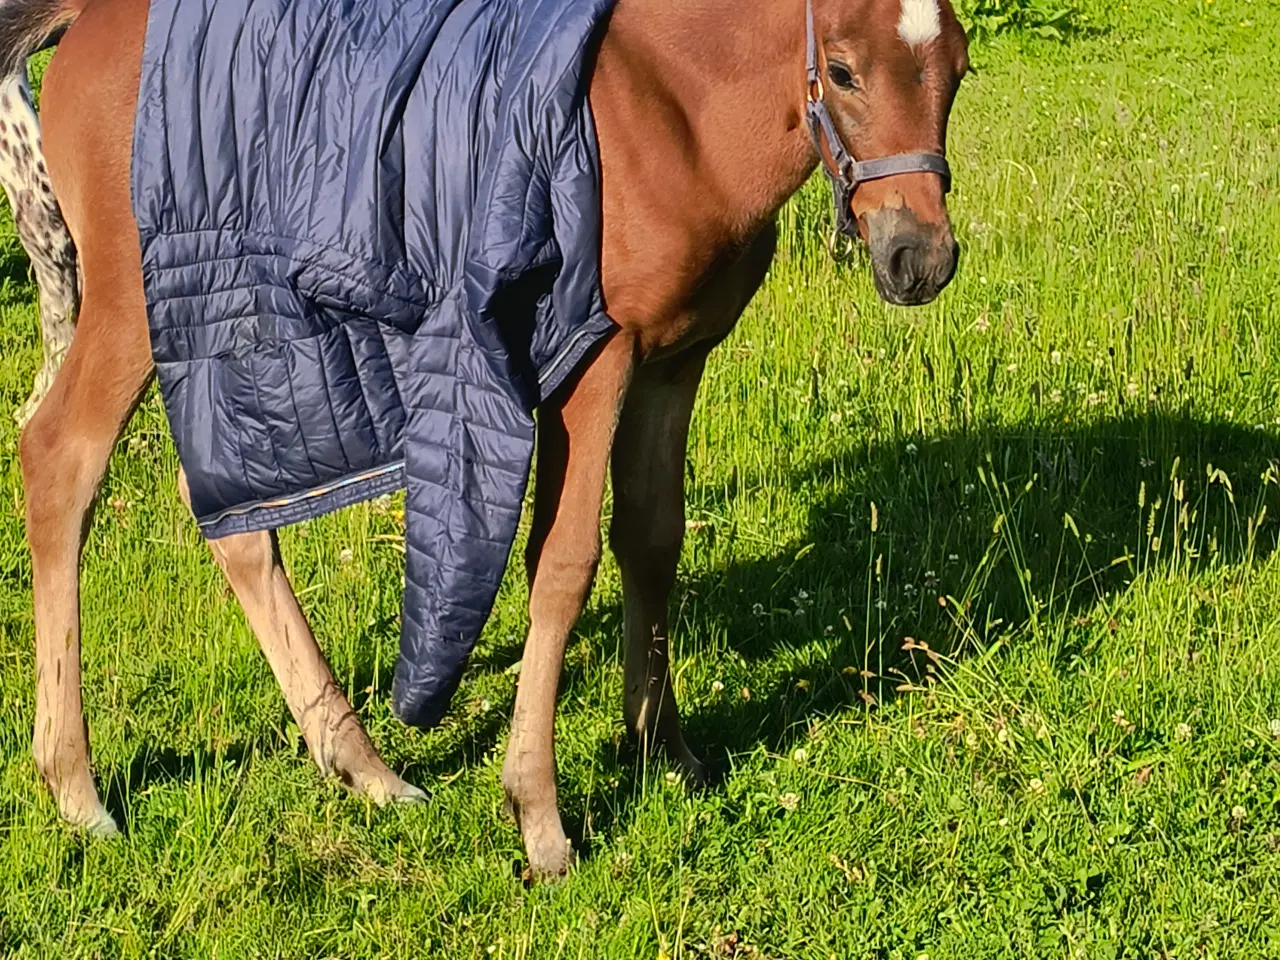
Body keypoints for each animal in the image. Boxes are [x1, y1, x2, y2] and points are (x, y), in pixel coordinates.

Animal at [8, 0, 967, 878]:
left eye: (956, 71)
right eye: (841, 71)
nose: (920, 260)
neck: (672, 114)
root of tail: (86, 19)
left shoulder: (674, 362)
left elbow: (652, 540)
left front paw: (664, 751)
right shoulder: (590, 363)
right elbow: (564, 563)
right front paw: (540, 818)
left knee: (228, 512)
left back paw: (362, 768)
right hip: (137, 306)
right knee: (59, 458)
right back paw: (78, 791)